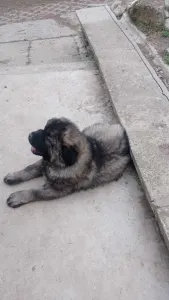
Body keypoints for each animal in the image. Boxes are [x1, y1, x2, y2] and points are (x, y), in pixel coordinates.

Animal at [3, 118, 131, 209]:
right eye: (43, 129)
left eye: (47, 138)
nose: (29, 135)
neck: (61, 165)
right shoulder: (44, 163)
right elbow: (29, 168)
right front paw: (13, 176)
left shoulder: (55, 190)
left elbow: (35, 191)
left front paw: (17, 197)